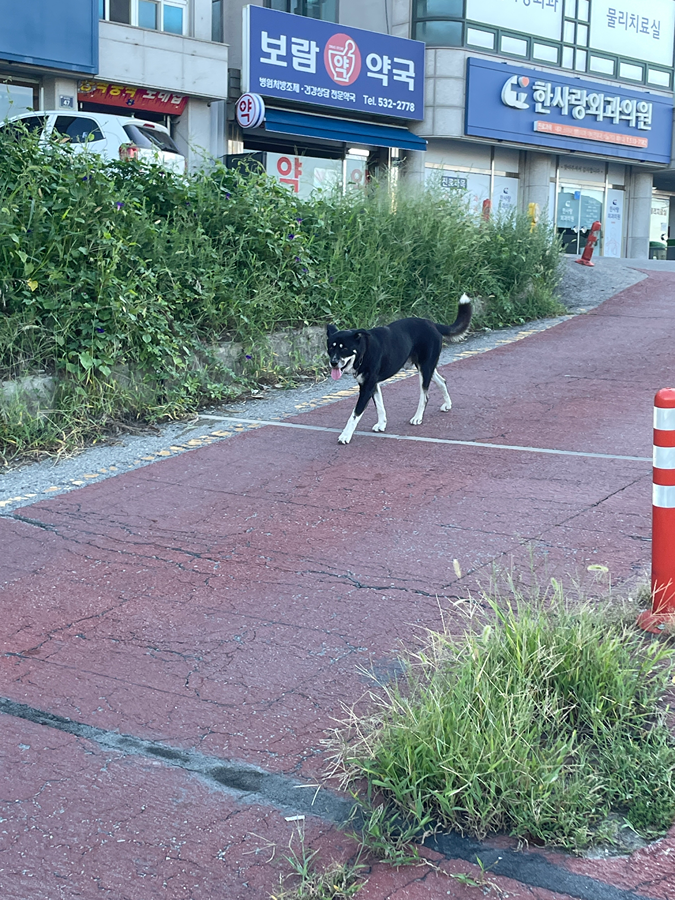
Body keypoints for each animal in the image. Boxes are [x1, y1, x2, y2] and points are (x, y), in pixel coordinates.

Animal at [326, 298, 470, 444]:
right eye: (331, 347)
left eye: (344, 348)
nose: (333, 362)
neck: (364, 351)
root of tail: (432, 324)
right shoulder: (373, 384)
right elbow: (380, 406)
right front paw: (382, 424)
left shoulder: (367, 387)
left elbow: (355, 414)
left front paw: (345, 436)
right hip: (425, 367)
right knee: (442, 381)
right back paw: (447, 404)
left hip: (425, 369)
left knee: (424, 396)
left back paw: (418, 417)